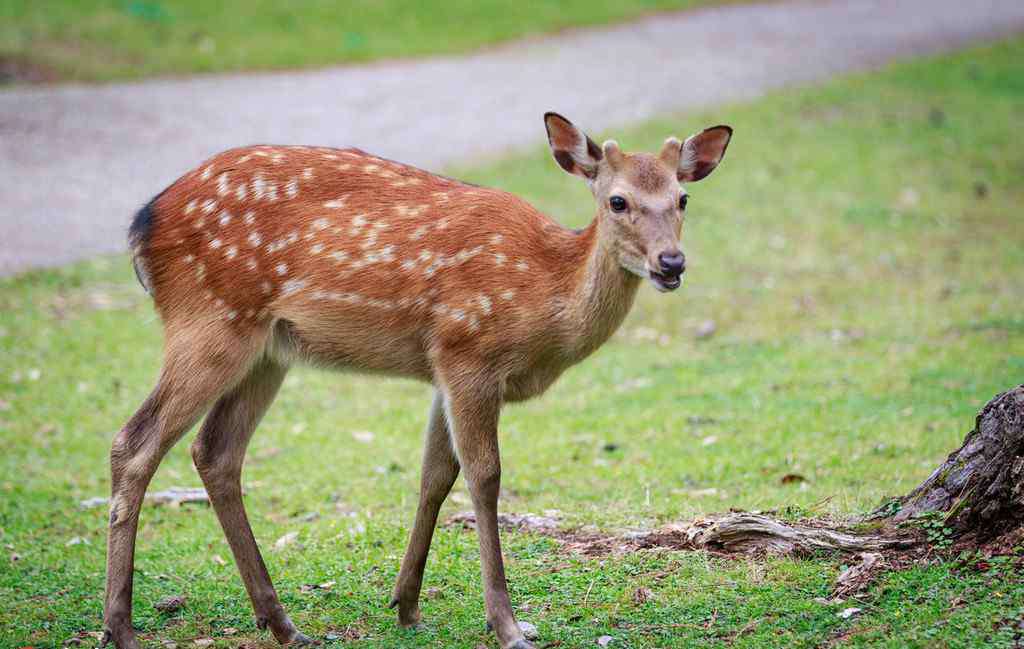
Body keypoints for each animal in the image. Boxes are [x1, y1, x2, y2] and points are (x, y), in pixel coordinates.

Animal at [101, 112, 729, 646]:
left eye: (682, 197)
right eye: (617, 200)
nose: (671, 263)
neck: (545, 300)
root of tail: (141, 224)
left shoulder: (442, 369)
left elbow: (435, 475)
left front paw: (405, 604)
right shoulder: (469, 350)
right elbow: (484, 477)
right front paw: (507, 624)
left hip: (268, 350)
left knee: (216, 451)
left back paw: (280, 623)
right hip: (209, 321)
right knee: (134, 442)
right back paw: (121, 627)